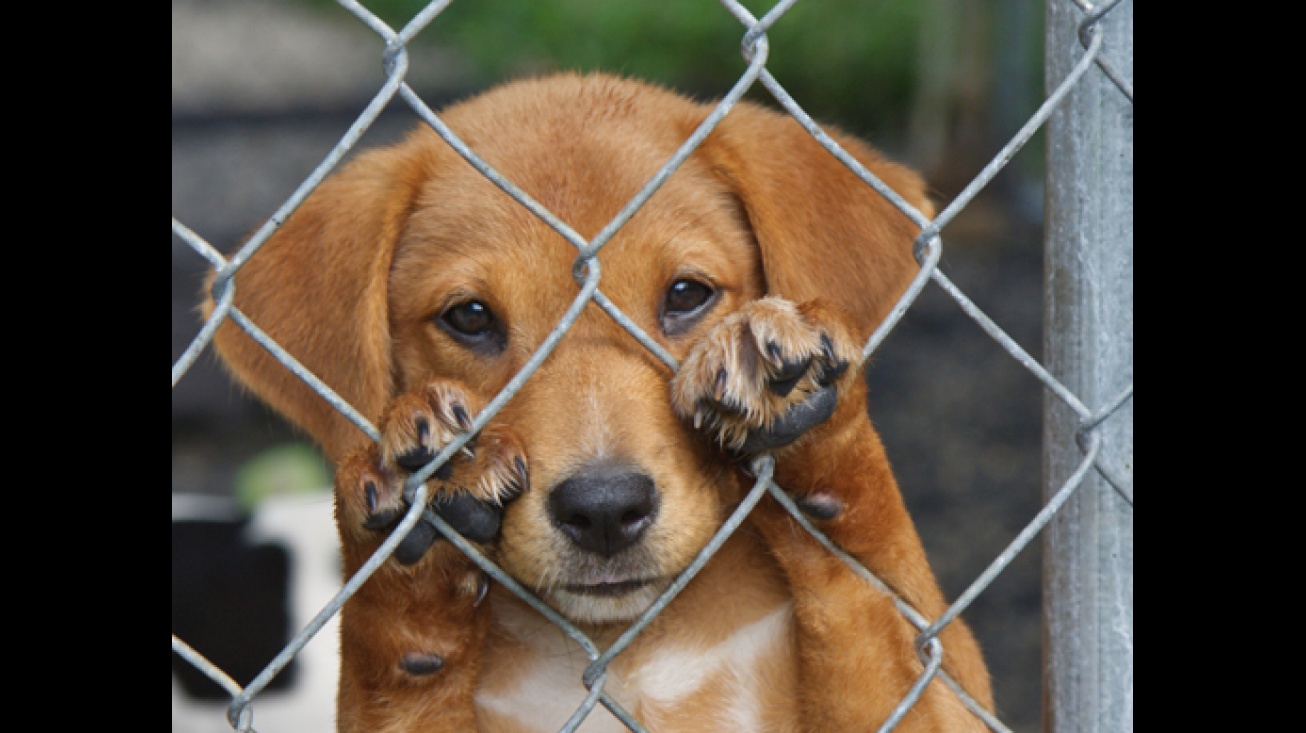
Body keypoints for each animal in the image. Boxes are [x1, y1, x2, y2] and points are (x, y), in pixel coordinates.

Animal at [208, 71, 992, 726]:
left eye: (687, 294)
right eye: (470, 316)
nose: (606, 510)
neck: (631, 650)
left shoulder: (939, 687)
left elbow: (873, 589)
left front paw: (808, 413)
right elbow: (398, 668)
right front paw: (416, 538)